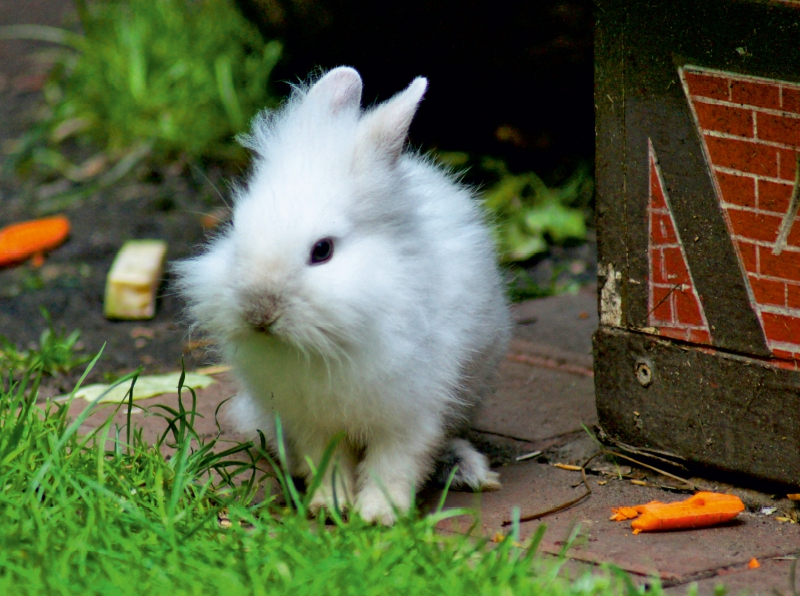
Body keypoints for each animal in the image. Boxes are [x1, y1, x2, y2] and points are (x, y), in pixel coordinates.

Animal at [176, 64, 512, 520]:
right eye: (237, 231)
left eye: (323, 250)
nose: (259, 310)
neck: (324, 345)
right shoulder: (311, 421)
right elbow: (327, 461)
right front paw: (329, 507)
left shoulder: (408, 414)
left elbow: (394, 463)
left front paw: (378, 516)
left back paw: (465, 470)